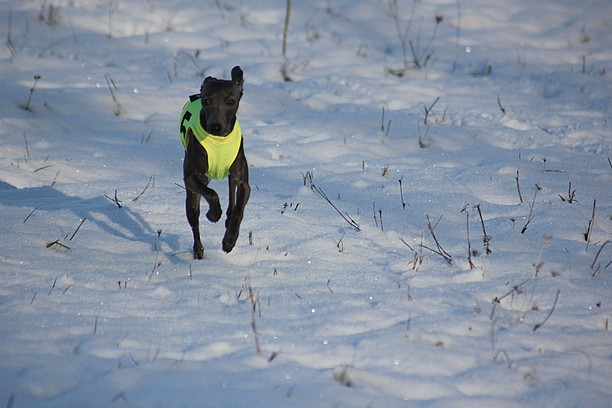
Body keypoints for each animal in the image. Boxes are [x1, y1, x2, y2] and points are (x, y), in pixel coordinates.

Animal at [180, 66, 250, 258]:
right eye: (207, 101)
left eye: (231, 101)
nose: (215, 127)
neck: (220, 141)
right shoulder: (191, 177)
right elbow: (211, 194)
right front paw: (213, 214)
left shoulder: (243, 182)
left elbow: (239, 210)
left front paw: (230, 240)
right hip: (192, 196)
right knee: (194, 219)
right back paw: (198, 250)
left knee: (232, 193)